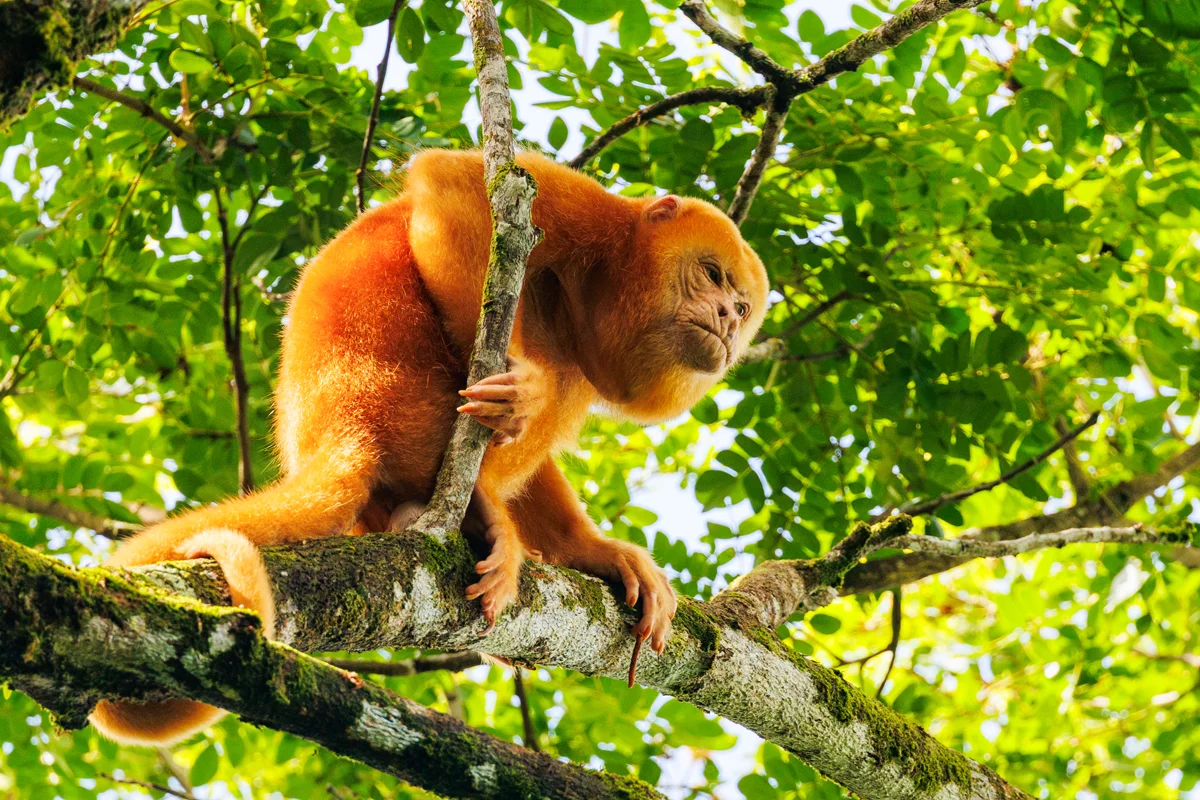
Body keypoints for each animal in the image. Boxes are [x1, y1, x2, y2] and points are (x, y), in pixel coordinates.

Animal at [90, 149, 770, 746]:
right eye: (712, 275)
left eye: (740, 307)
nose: (726, 319)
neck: (602, 282)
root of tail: (333, 424)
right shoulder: (587, 212)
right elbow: (455, 188)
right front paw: (521, 387)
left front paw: (597, 551)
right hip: (402, 391)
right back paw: (478, 506)